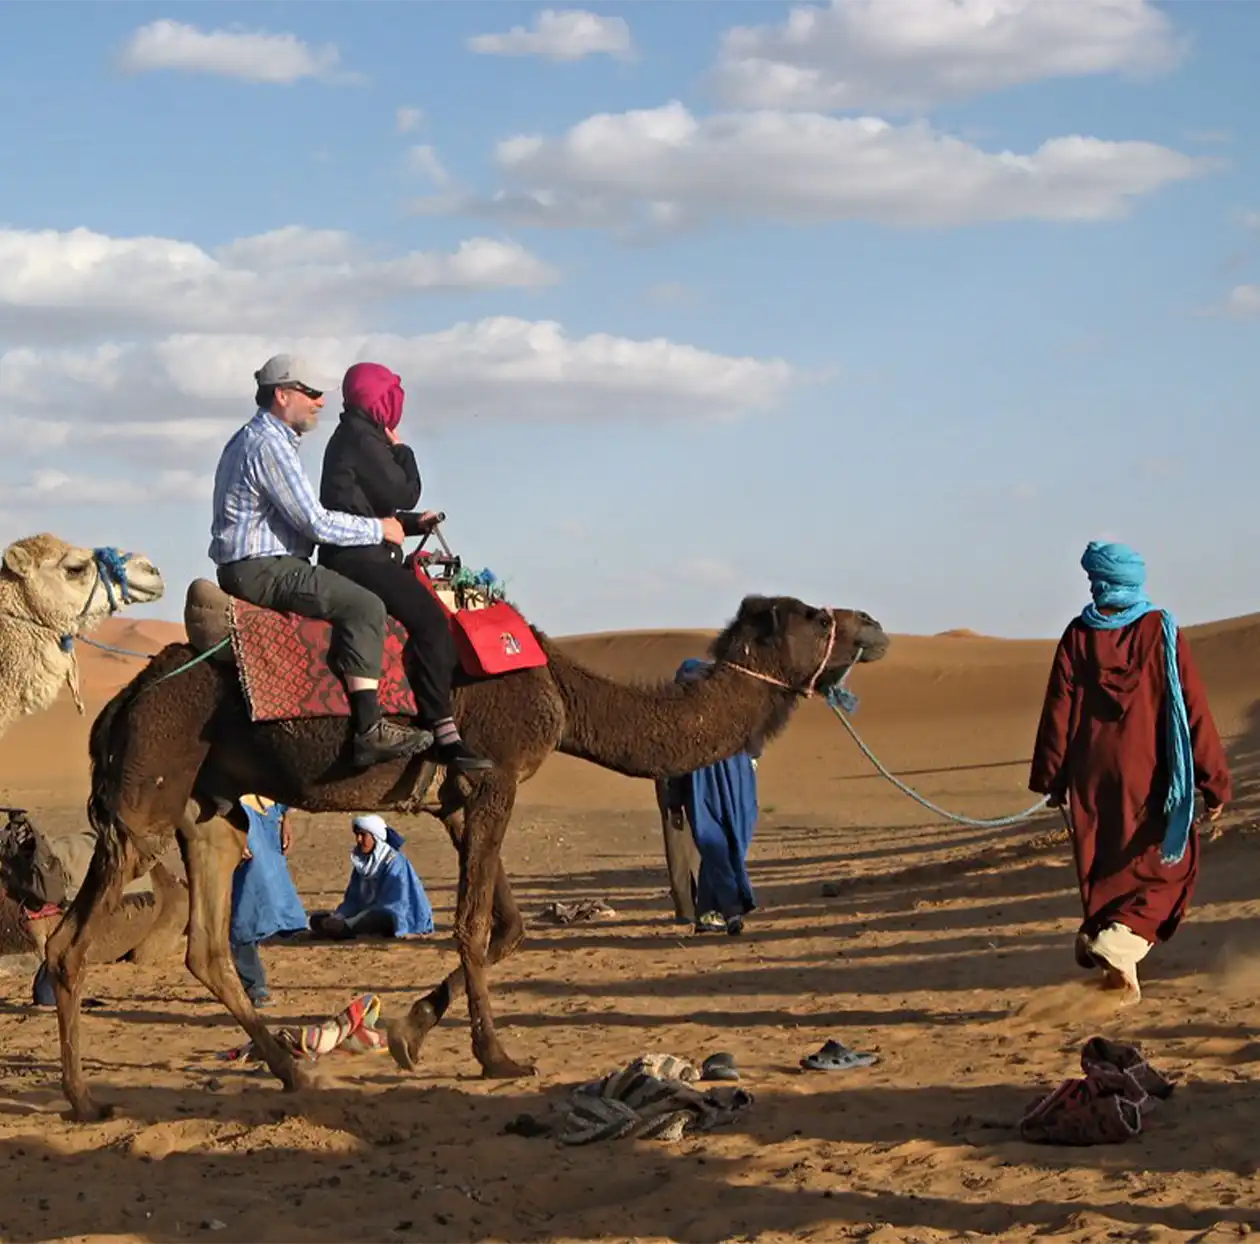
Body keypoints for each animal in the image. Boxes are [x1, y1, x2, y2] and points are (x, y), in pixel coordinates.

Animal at [49, 587, 888, 1121]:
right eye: (815, 615)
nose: (874, 624)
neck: (560, 691)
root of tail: (125, 700)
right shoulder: (495, 780)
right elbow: (475, 927)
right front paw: (498, 1058)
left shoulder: (467, 796)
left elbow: (507, 927)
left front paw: (409, 1030)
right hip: (144, 796)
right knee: (69, 944)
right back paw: (85, 1100)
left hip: (207, 808)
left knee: (205, 944)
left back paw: (294, 1069)